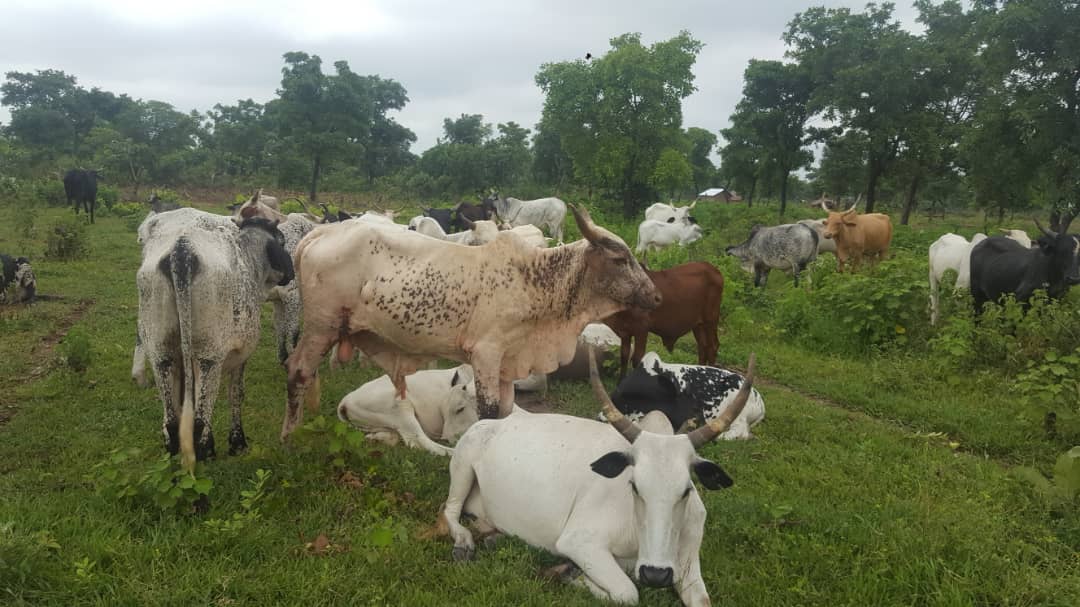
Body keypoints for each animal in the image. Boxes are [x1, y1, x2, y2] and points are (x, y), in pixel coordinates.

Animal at [135, 208, 294, 472]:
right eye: (281, 242)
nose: (291, 273)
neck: (249, 260)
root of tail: (182, 249)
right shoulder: (241, 354)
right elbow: (236, 394)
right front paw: (237, 443)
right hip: (209, 358)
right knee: (199, 420)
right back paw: (204, 458)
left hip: (161, 353)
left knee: (172, 421)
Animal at [281, 205, 661, 439]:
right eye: (619, 258)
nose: (656, 298)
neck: (535, 281)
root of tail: (320, 234)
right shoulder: (486, 354)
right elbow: (489, 411)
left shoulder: (508, 361)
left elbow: (507, 411)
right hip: (321, 326)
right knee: (297, 371)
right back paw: (289, 436)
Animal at [336, 365, 478, 456]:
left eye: (460, 409)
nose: (445, 439)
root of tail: (345, 401)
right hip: (401, 406)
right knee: (421, 443)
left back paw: (375, 439)